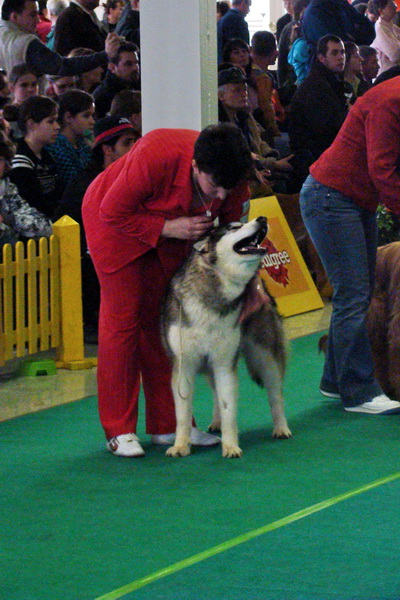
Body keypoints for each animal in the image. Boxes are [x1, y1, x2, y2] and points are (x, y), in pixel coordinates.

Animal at [162, 218, 290, 458]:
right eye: (233, 228)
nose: (262, 218)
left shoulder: (224, 365)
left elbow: (228, 407)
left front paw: (230, 446)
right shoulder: (185, 366)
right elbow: (183, 415)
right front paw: (181, 445)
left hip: (264, 356)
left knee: (275, 395)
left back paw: (281, 428)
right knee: (214, 392)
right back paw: (216, 422)